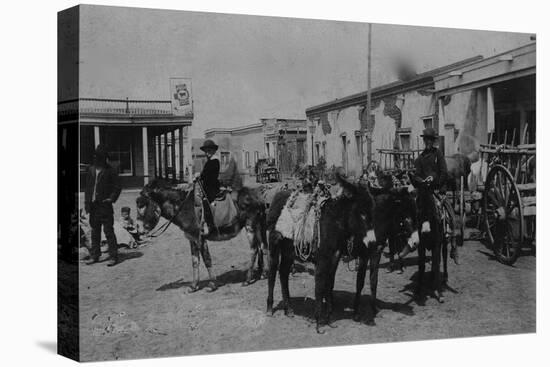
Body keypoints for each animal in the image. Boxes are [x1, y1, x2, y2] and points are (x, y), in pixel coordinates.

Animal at [138, 179, 268, 294]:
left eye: (142, 205)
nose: (138, 230)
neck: (184, 207)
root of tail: (258, 196)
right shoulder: (192, 238)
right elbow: (195, 261)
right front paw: (193, 286)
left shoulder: (200, 238)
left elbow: (207, 259)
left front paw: (212, 285)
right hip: (258, 226)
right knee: (262, 247)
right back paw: (263, 274)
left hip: (250, 226)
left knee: (254, 249)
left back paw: (247, 280)